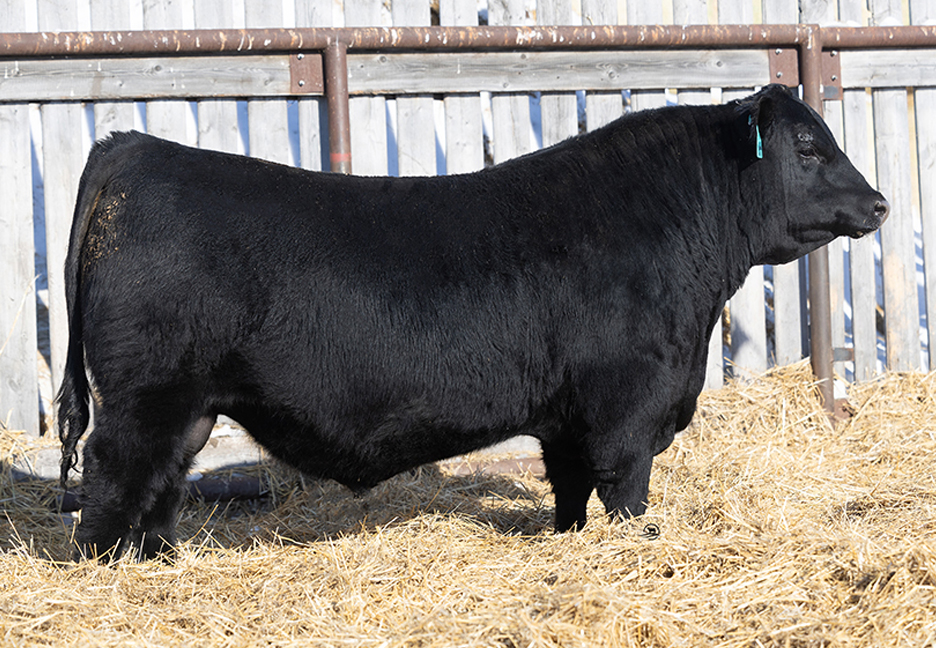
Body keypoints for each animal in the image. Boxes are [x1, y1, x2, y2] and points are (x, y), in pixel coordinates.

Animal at [57, 84, 888, 560]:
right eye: (809, 147)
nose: (879, 203)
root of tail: (132, 148)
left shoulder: (567, 415)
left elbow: (569, 490)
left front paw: (569, 544)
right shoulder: (627, 404)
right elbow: (625, 491)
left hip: (188, 405)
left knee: (161, 479)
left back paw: (161, 560)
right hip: (146, 394)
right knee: (113, 472)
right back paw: (106, 567)